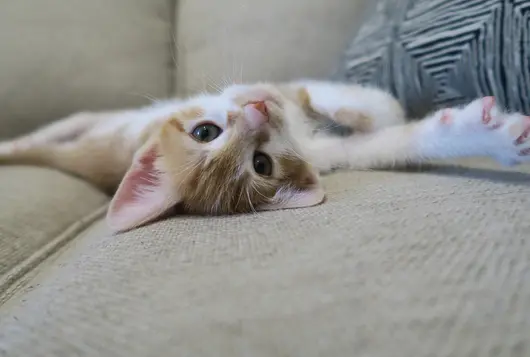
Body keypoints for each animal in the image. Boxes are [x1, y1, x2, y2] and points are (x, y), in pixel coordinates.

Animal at [1, 79, 528, 231]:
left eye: (205, 131)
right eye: (261, 165)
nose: (257, 110)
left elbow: (383, 116)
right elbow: (387, 115)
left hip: (85, 121)